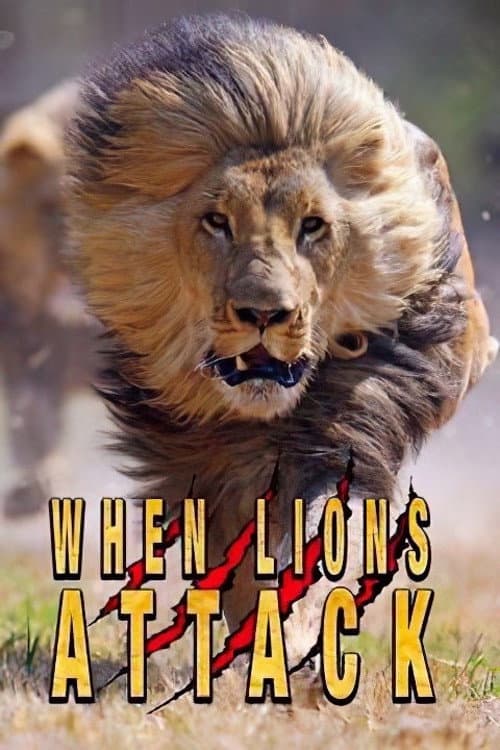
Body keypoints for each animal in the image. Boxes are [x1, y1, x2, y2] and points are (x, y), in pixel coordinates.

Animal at [66, 14, 496, 658]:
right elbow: (239, 569)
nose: (265, 313)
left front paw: (295, 645)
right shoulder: (206, 468)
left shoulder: (346, 430)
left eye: (312, 226)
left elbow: (324, 543)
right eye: (216, 222)